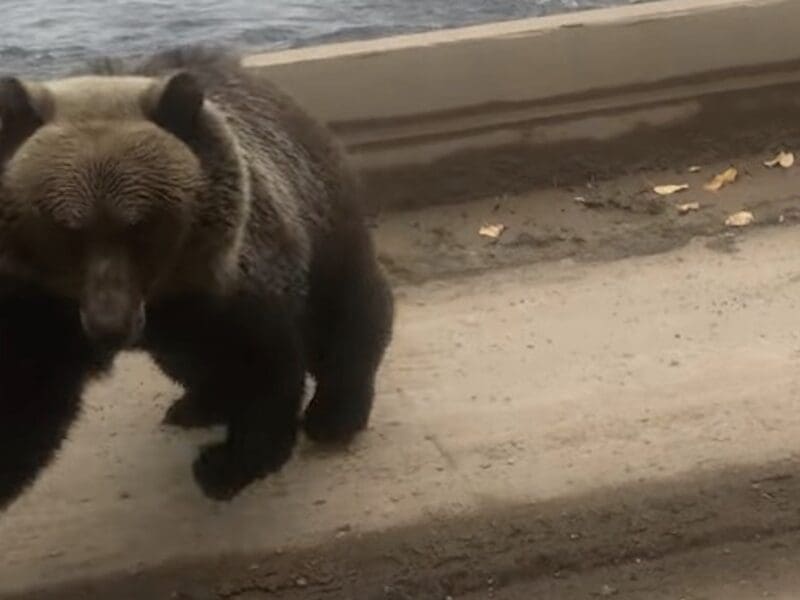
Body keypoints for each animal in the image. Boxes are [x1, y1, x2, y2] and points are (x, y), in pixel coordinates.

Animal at [0, 46, 394, 508]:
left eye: (141, 225)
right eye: (66, 228)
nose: (109, 325)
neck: (159, 297)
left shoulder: (227, 283)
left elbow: (262, 362)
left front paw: (224, 465)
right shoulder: (39, 303)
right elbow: (24, 397)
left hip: (322, 216)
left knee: (347, 313)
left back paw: (335, 414)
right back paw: (196, 405)